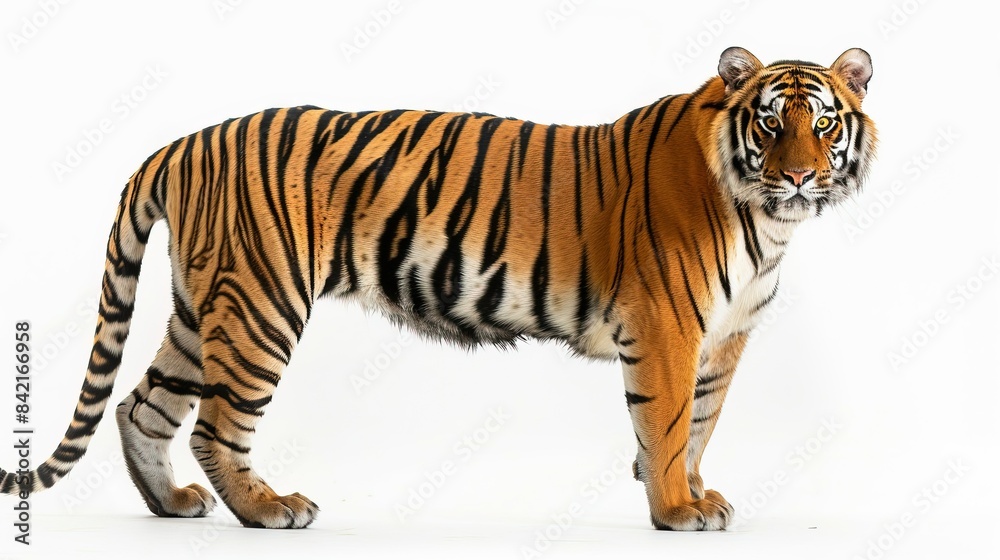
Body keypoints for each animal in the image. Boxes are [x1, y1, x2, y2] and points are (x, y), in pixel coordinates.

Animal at [1, 47, 876, 530]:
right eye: (771, 121)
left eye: (825, 123)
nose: (801, 175)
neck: (765, 222)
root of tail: (181, 142)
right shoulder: (666, 327)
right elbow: (663, 426)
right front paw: (674, 513)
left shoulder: (724, 337)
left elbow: (700, 423)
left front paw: (697, 493)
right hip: (260, 305)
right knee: (216, 424)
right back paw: (269, 509)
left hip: (202, 304)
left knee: (140, 406)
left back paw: (171, 504)